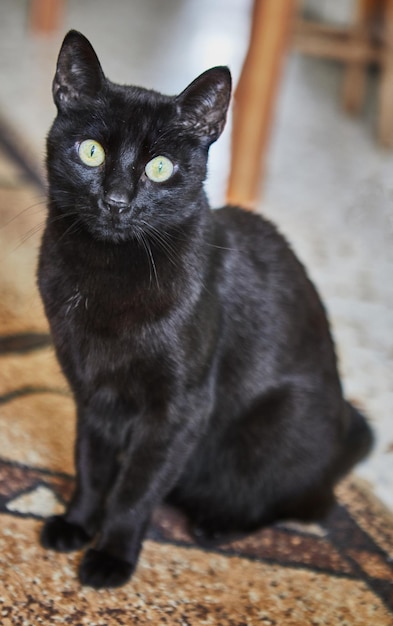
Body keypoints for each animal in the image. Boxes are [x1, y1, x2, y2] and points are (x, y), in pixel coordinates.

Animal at [38, 29, 372, 584]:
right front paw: (78, 523)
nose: (117, 200)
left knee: (303, 504)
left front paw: (112, 555)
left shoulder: (180, 409)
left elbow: (135, 490)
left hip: (276, 427)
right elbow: (91, 465)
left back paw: (216, 523)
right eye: (91, 151)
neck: (106, 272)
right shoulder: (91, 392)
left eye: (160, 168)